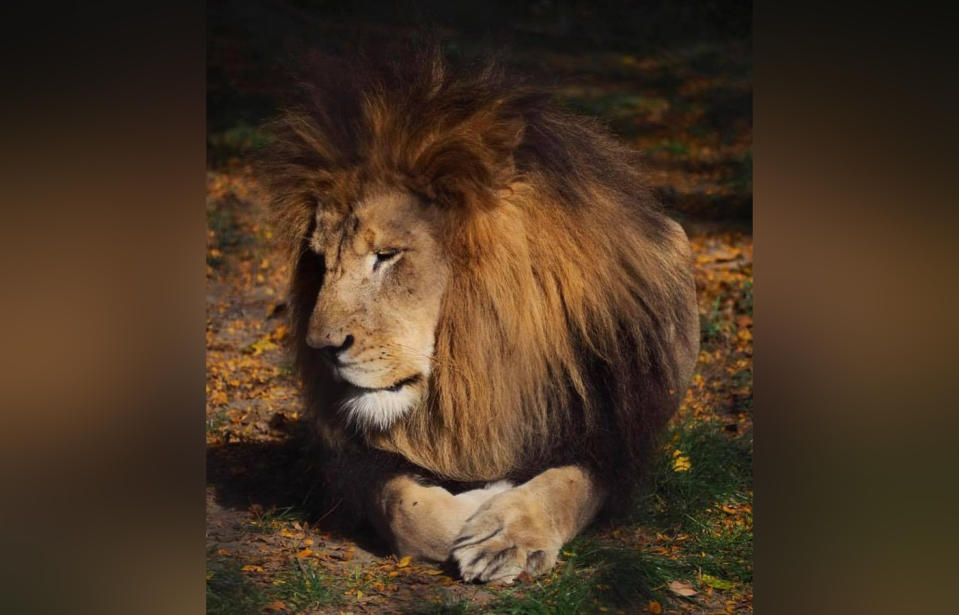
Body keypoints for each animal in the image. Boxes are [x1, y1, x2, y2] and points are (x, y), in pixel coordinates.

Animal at [262, 50, 696, 584]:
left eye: (386, 256)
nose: (321, 348)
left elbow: (564, 486)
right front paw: (479, 502)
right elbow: (400, 506)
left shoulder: (610, 443)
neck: (473, 374)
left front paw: (507, 533)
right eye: (321, 262)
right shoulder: (351, 459)